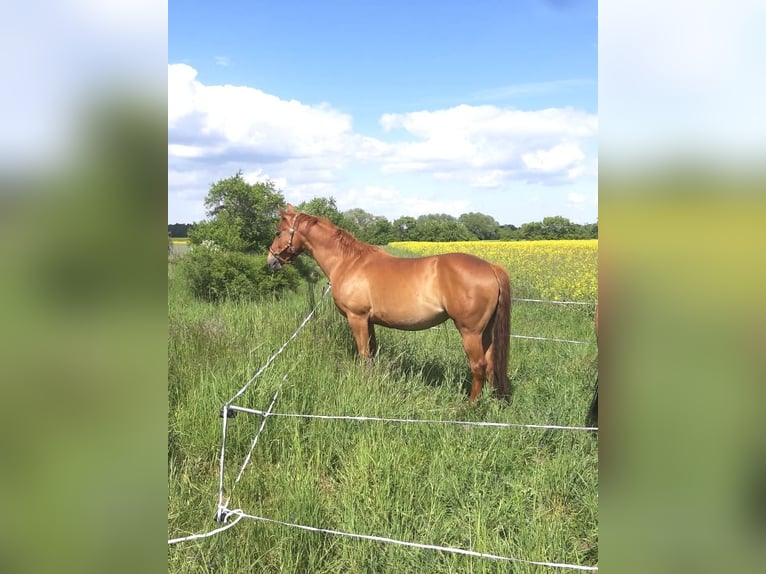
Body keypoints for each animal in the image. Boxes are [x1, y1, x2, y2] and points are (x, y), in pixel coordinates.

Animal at [267, 204, 512, 401]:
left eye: (278, 232)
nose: (270, 261)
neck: (349, 262)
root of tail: (491, 267)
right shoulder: (369, 321)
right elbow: (372, 354)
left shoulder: (357, 319)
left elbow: (364, 355)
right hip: (485, 332)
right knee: (490, 365)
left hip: (470, 332)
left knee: (478, 367)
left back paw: (469, 408)